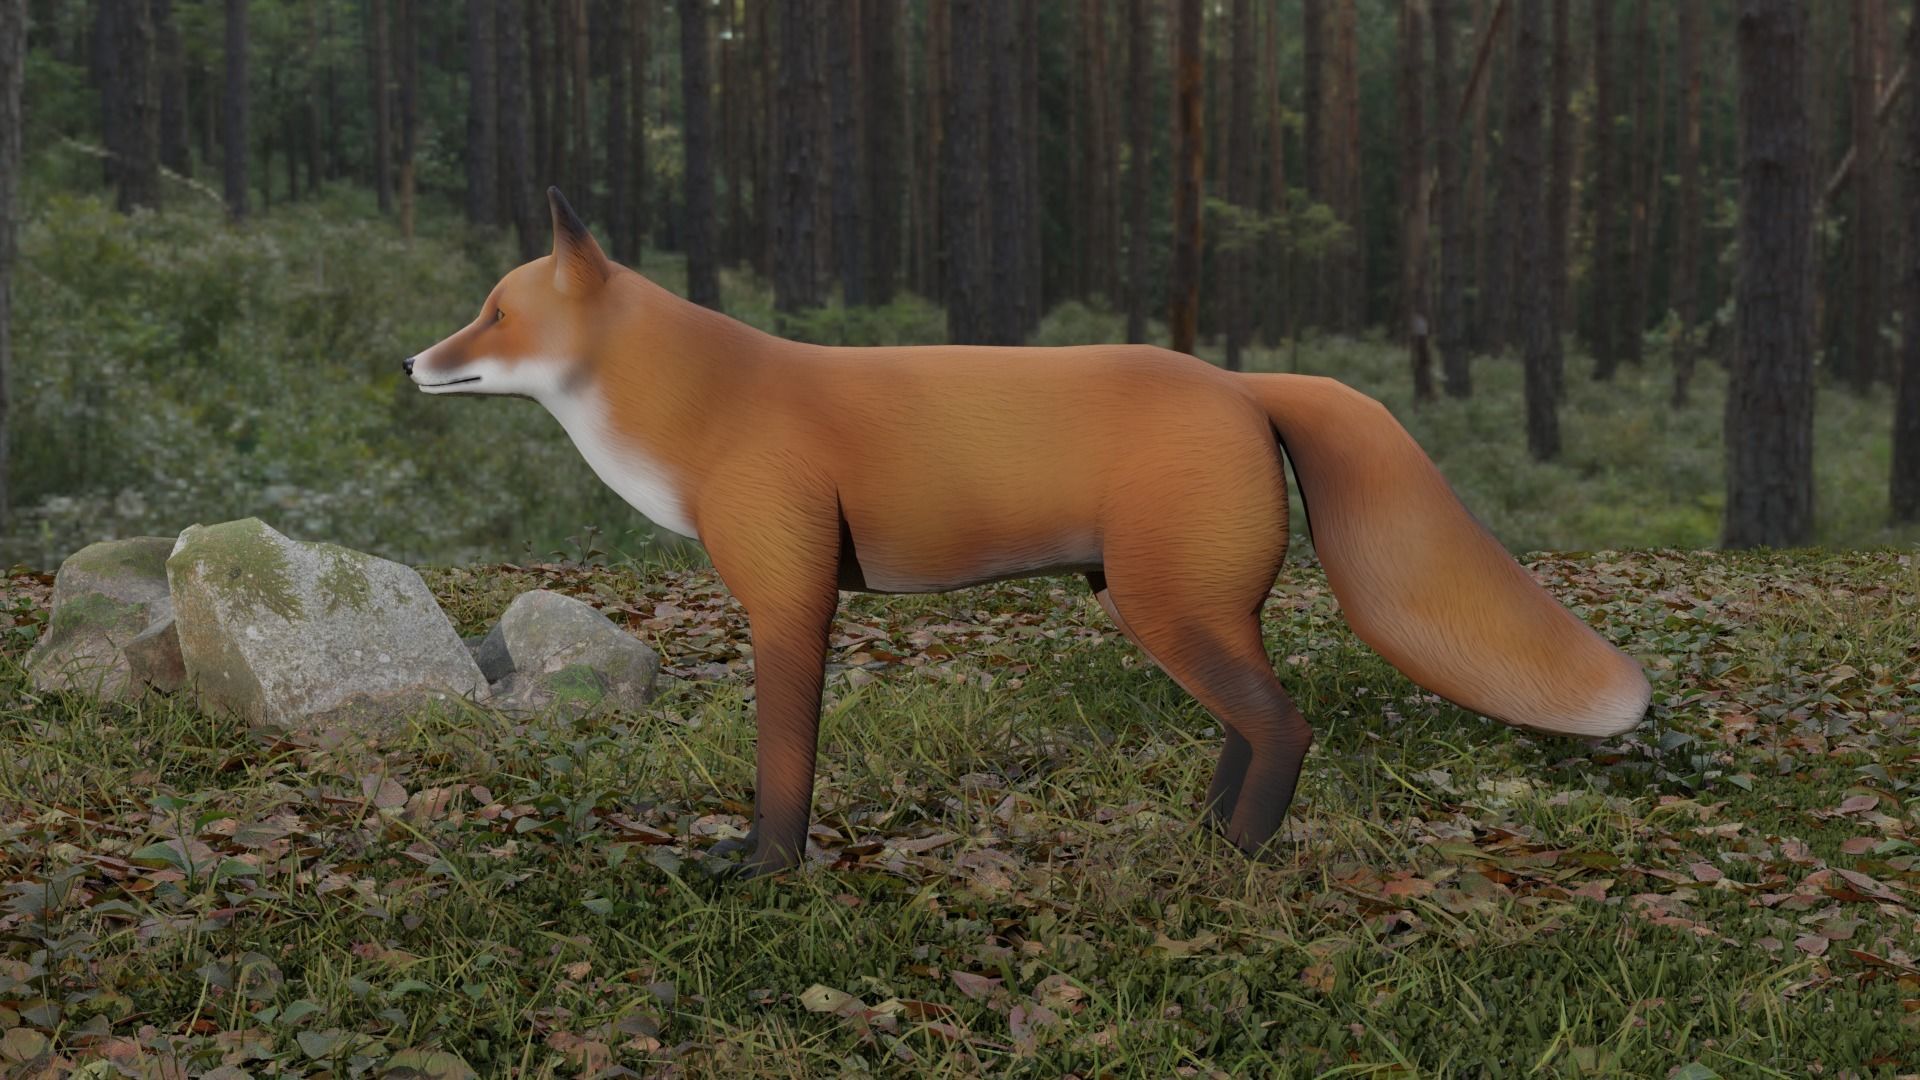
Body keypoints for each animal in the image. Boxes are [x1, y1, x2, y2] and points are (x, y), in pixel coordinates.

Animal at [407, 188, 1650, 877]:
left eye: (495, 314)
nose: (413, 362)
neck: (708, 412)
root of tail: (1241, 381)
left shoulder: (791, 602)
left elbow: (783, 761)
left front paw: (767, 869)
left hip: (1168, 610)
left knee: (1285, 728)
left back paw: (1238, 863)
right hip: (1200, 613)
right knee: (1251, 729)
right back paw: (1204, 838)